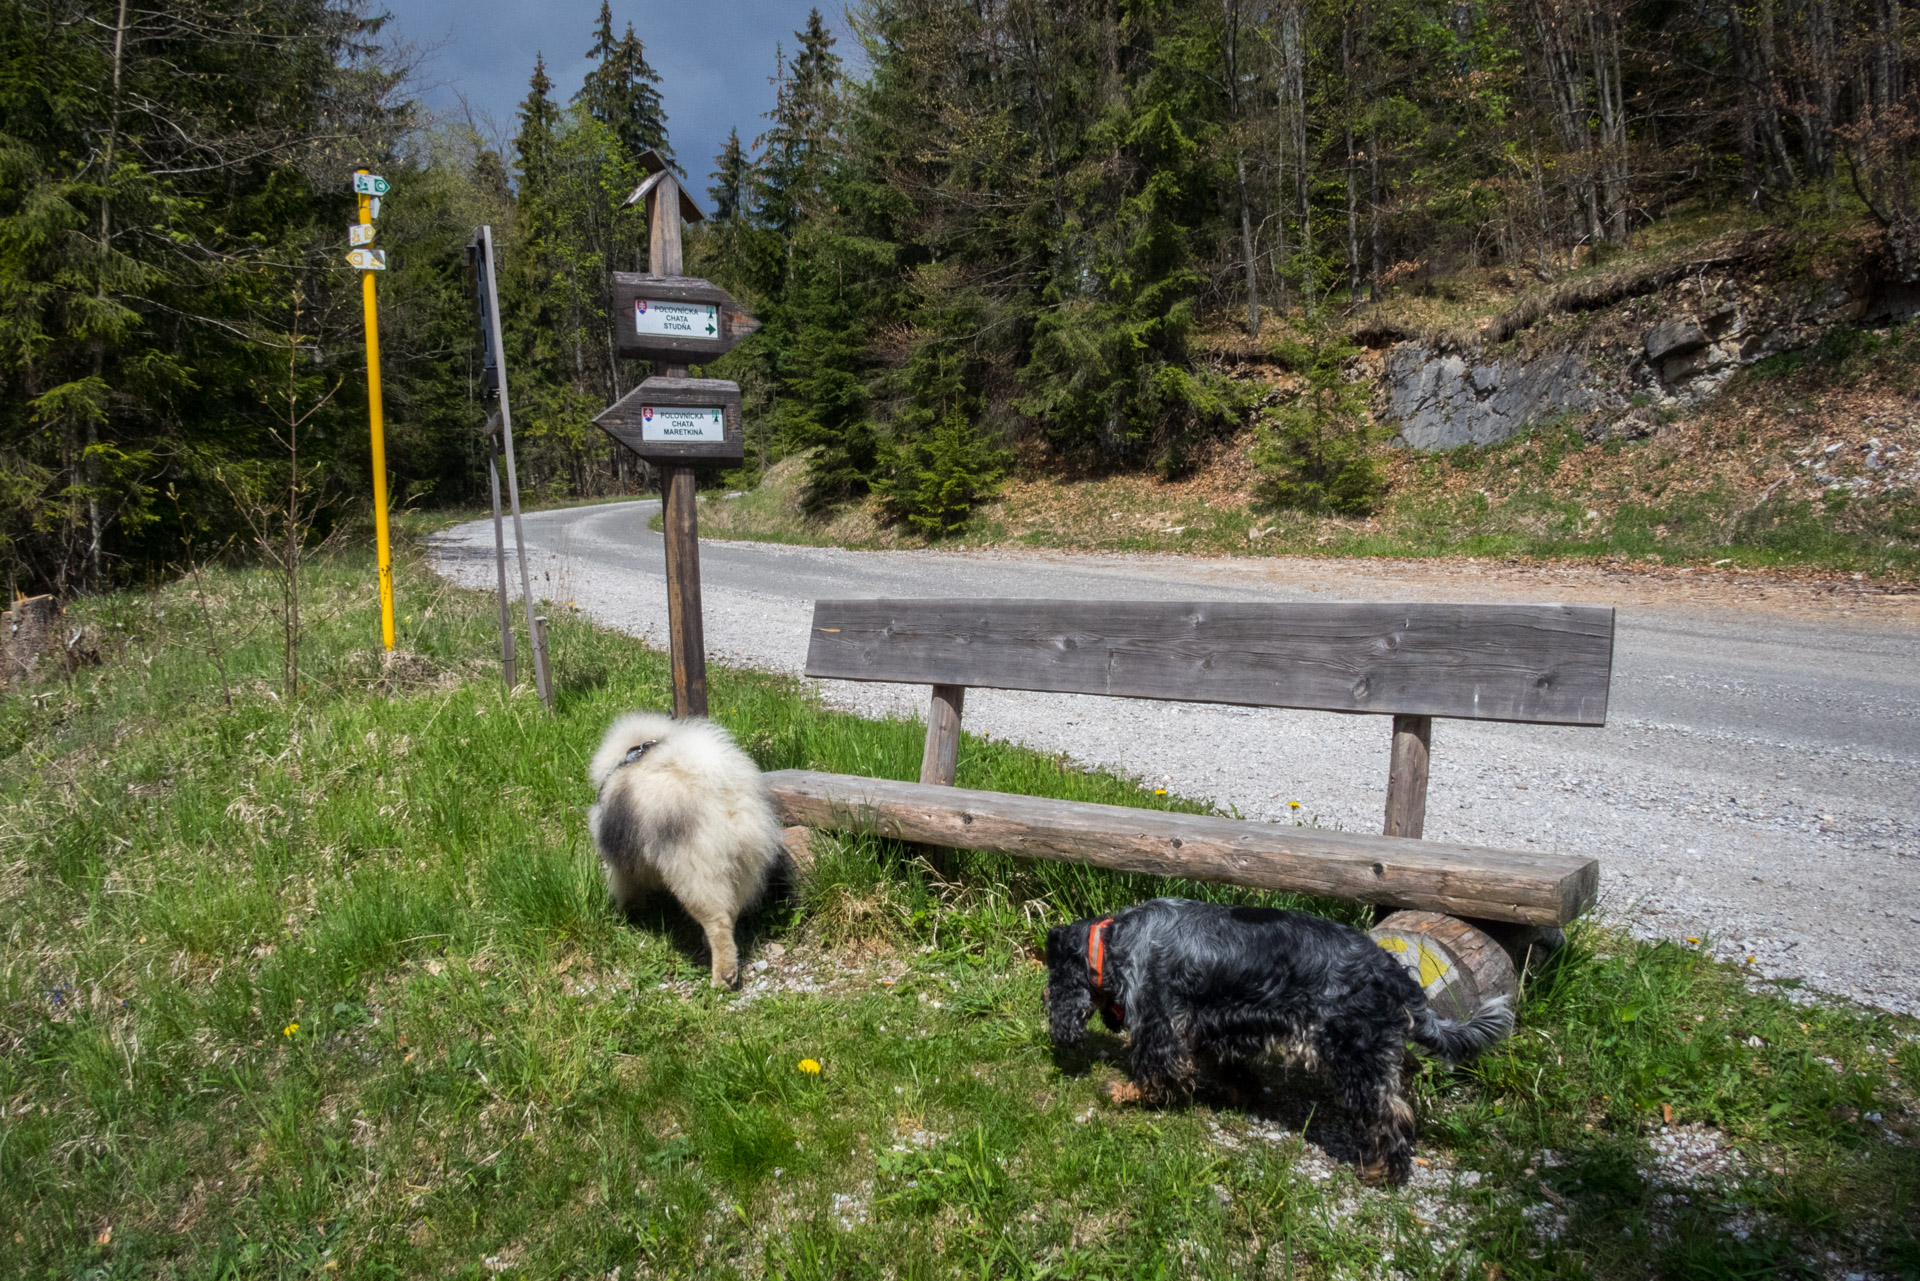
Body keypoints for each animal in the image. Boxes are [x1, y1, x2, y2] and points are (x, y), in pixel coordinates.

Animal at [583, 718, 779, 990]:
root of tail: (728, 805)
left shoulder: (620, 866)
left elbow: (625, 890)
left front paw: (627, 914)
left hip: (695, 877)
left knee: (718, 924)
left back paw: (722, 977)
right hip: (742, 872)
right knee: (730, 916)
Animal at [1052, 902, 1512, 1183]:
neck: (1115, 939)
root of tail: (1392, 972)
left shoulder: (1159, 1021)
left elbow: (1155, 1072)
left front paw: (1123, 1091)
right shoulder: (1215, 1025)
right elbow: (1228, 1067)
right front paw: (1244, 1093)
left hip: (1354, 1054)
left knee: (1390, 1116)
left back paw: (1382, 1172)